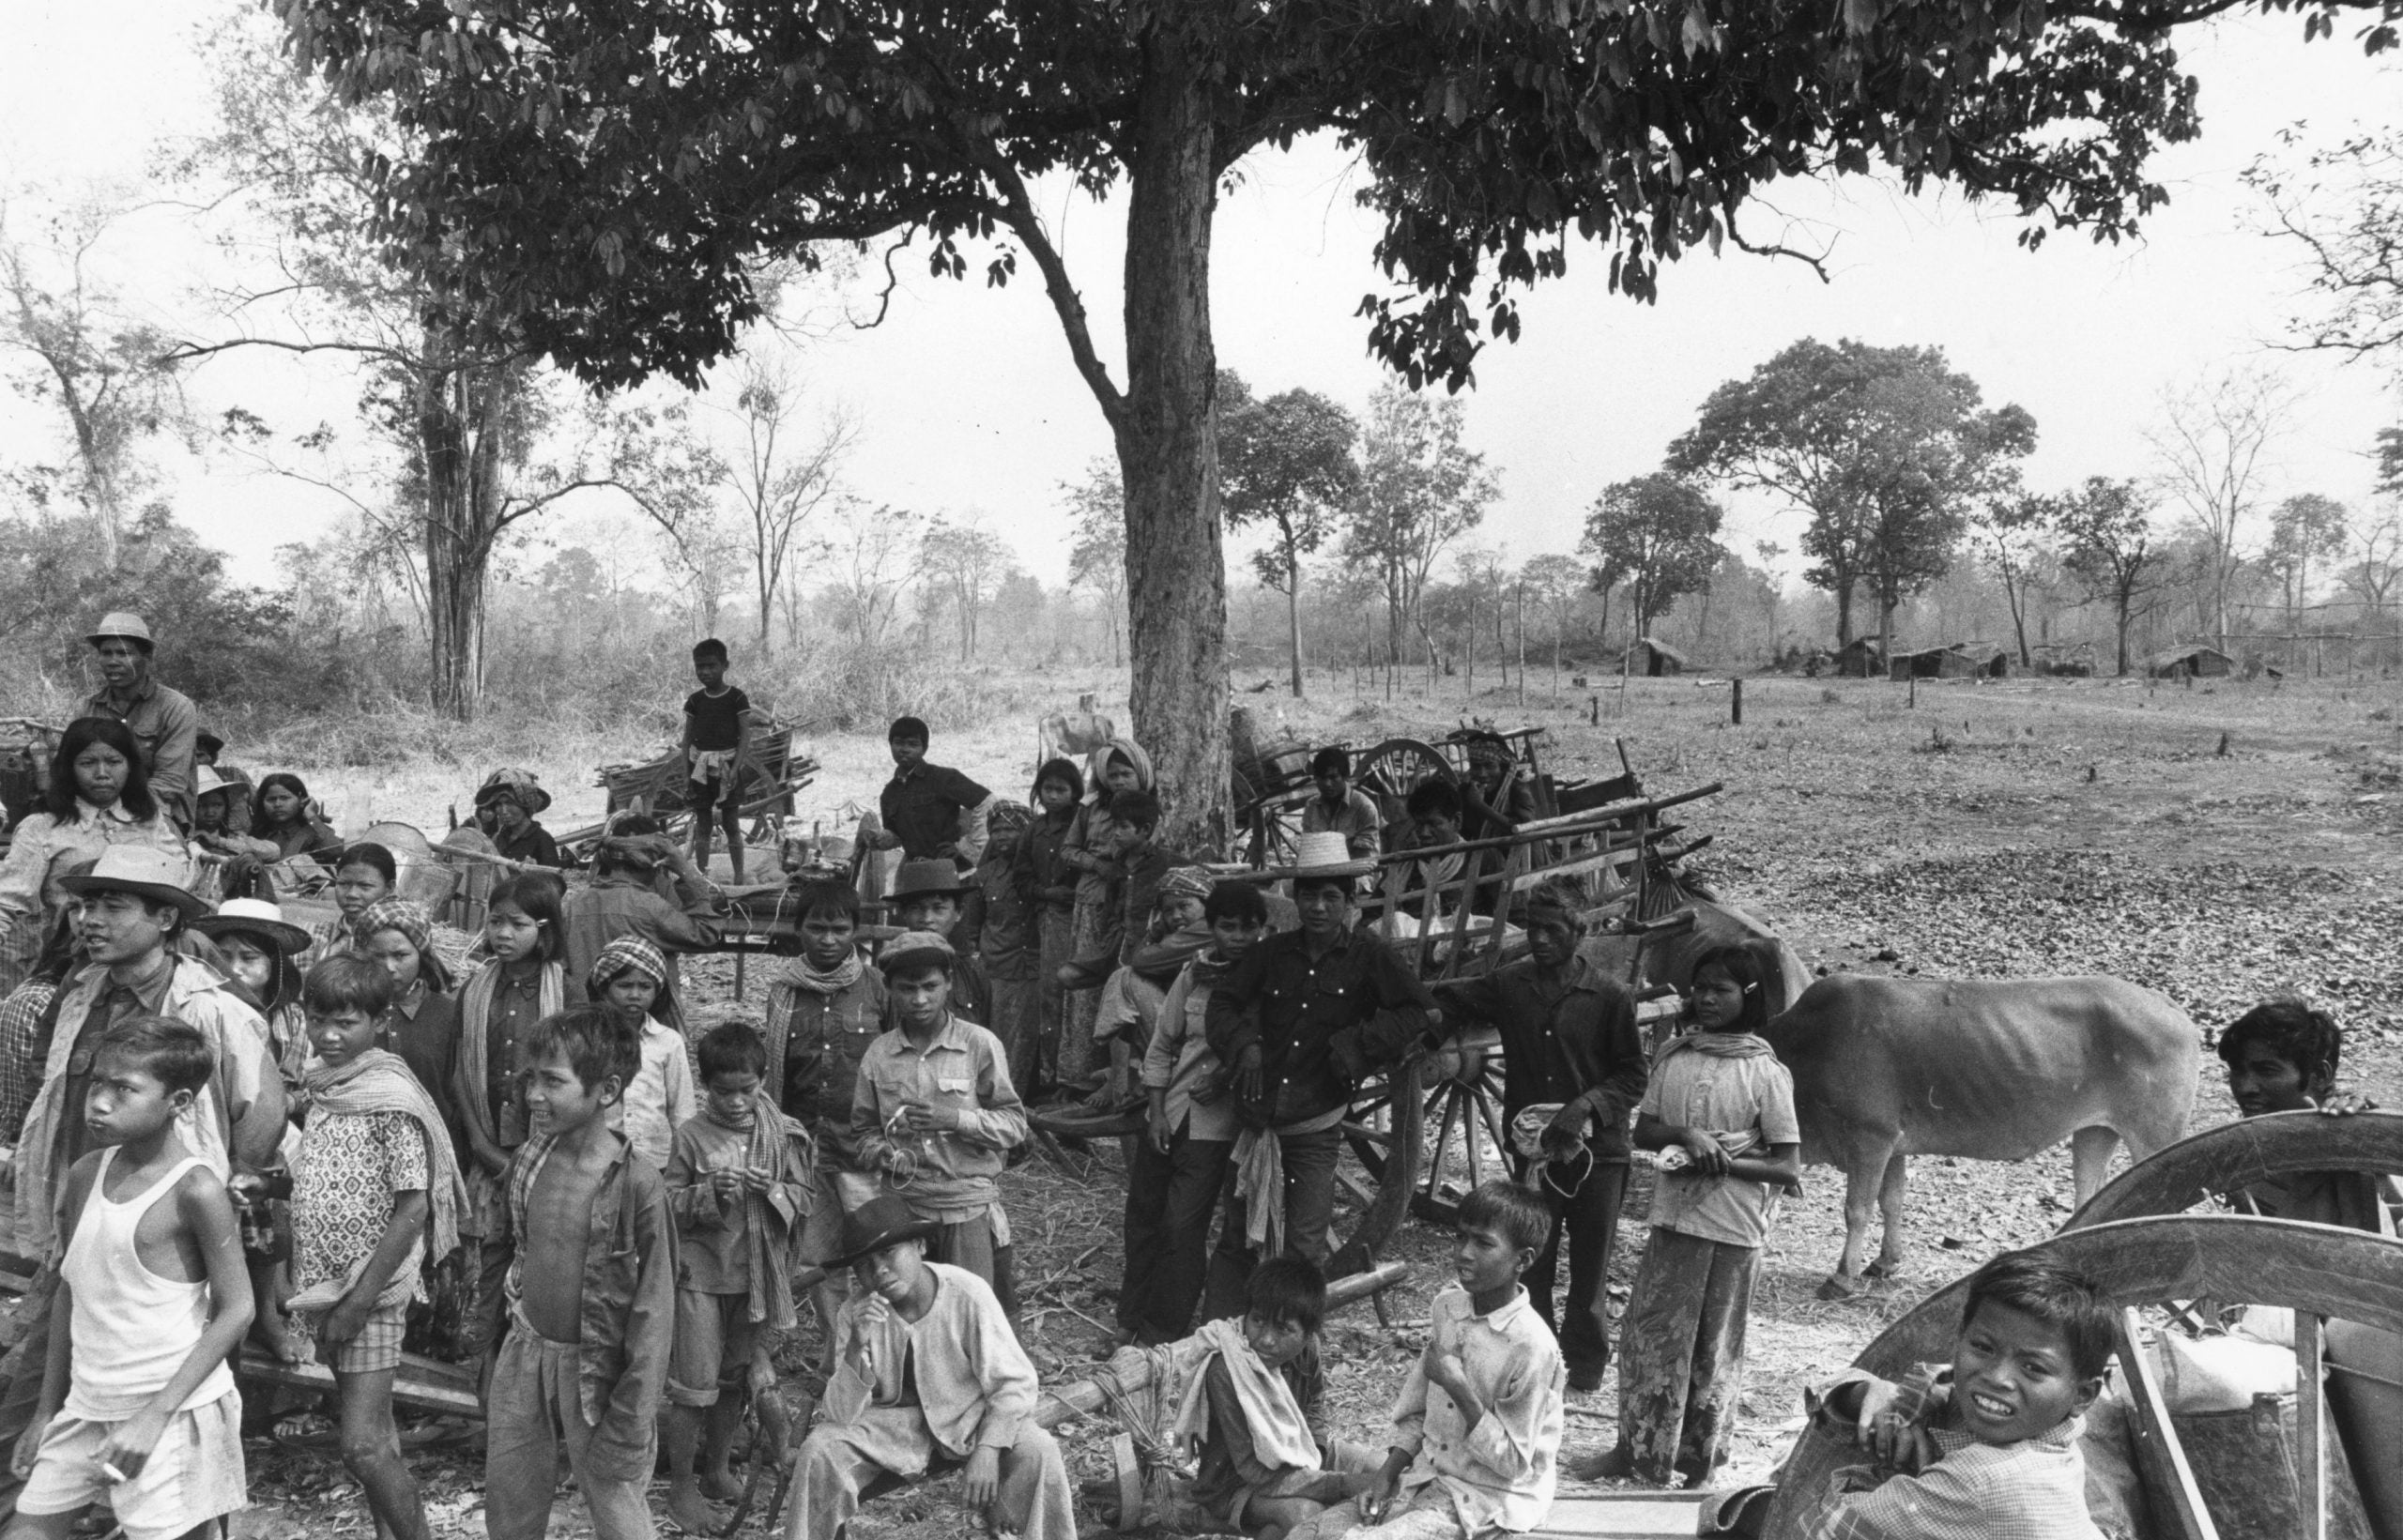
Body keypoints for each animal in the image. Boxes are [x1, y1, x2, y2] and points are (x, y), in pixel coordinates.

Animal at [1768, 980, 2200, 1288]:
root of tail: (2171, 1006)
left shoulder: (1869, 1137)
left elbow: (1857, 1209)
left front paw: (1842, 1277)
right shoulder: (1893, 1144)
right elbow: (1892, 1202)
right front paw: (1885, 1262)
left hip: (2157, 1138)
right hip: (2095, 1132)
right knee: (2090, 1194)